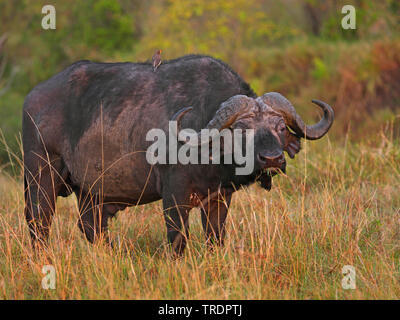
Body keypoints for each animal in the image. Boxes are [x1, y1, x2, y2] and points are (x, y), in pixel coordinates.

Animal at [22, 54, 334, 255]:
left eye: (280, 128)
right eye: (242, 129)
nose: (271, 159)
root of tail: (32, 99)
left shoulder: (220, 198)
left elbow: (215, 237)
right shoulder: (174, 196)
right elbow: (178, 238)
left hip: (90, 191)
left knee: (91, 227)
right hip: (41, 175)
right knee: (39, 222)